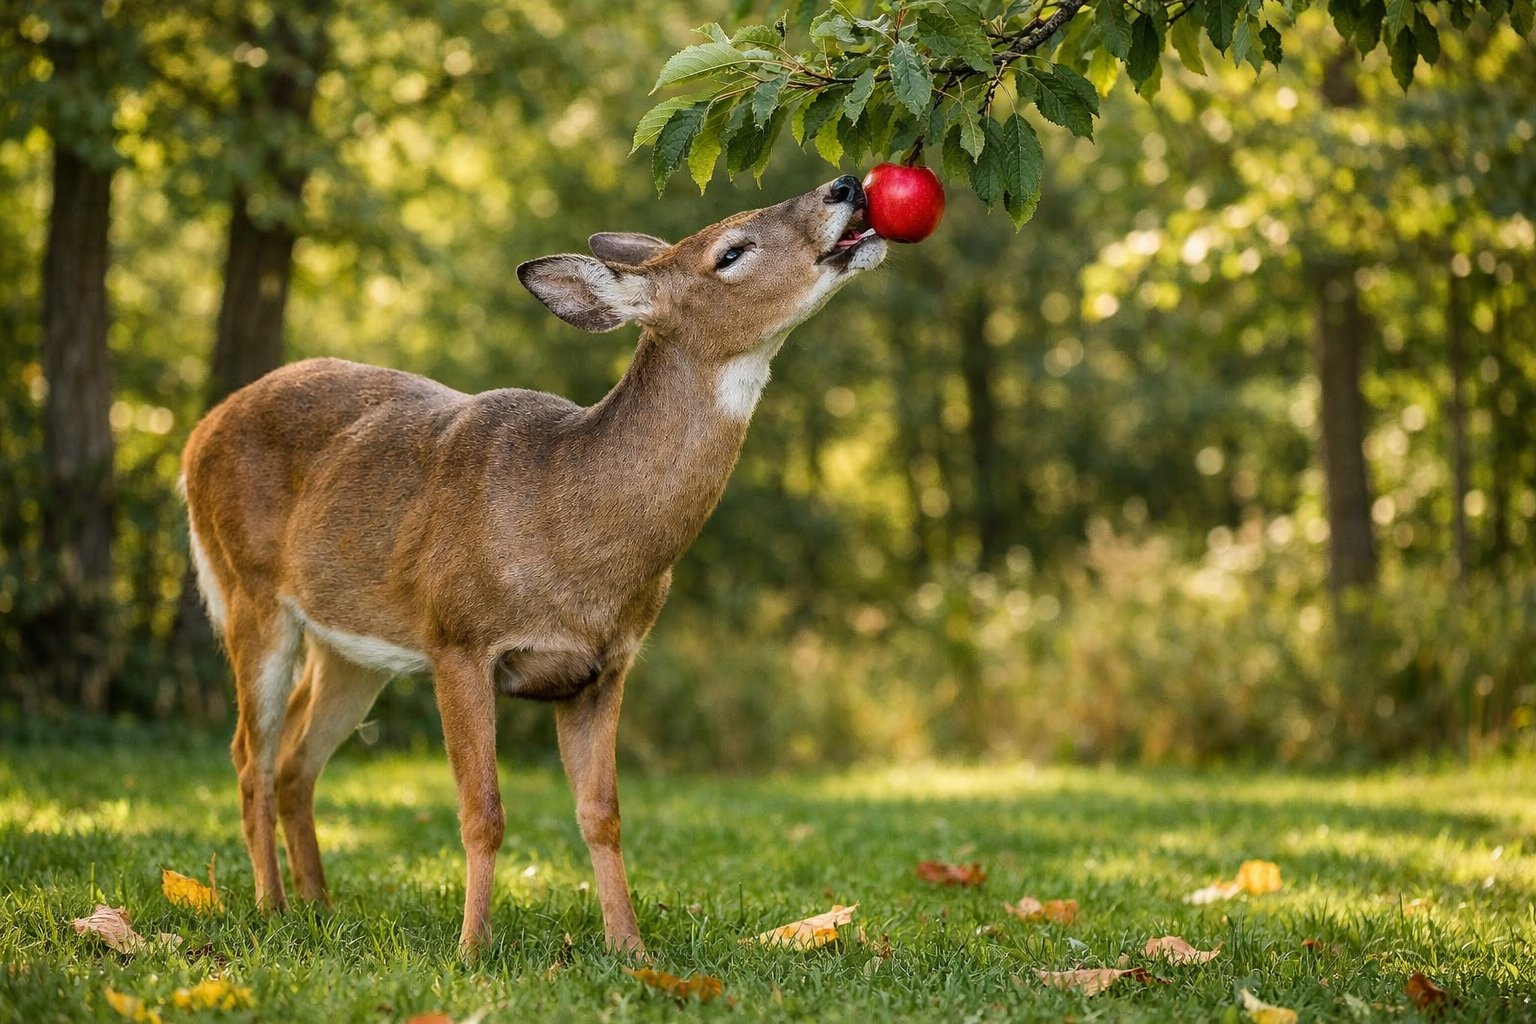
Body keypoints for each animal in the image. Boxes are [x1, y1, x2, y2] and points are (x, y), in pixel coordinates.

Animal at [179, 175, 885, 955]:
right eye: (730, 251)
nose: (845, 184)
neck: (570, 526)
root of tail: (197, 434)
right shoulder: (458, 638)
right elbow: (482, 811)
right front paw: (470, 949)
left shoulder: (606, 665)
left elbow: (602, 813)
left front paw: (629, 947)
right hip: (248, 591)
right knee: (252, 755)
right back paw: (269, 905)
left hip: (353, 648)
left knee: (298, 759)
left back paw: (318, 906)